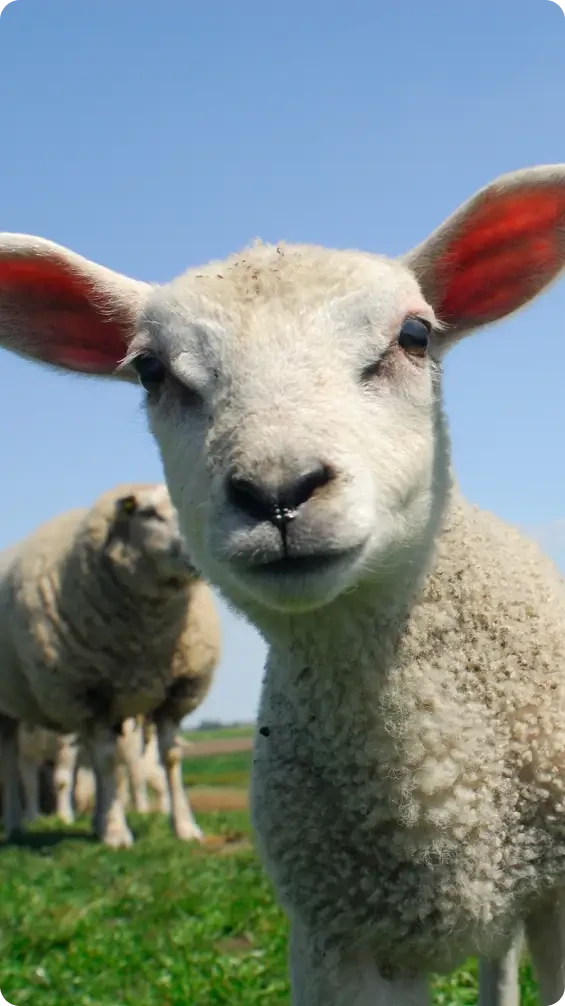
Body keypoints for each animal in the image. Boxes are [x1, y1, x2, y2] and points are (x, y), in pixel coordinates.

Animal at [0, 483, 221, 848]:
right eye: (149, 513)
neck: (150, 636)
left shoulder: (174, 695)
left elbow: (170, 759)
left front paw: (185, 827)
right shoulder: (89, 694)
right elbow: (107, 762)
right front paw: (117, 832)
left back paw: (95, 822)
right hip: (9, 709)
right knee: (12, 765)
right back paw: (16, 824)